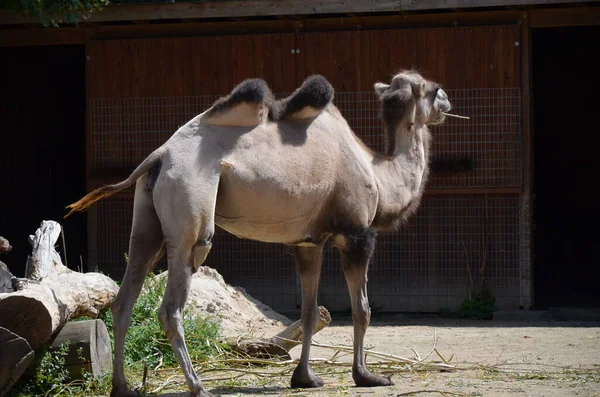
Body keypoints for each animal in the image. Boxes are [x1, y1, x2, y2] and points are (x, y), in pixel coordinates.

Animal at [64, 69, 450, 394]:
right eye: (430, 88)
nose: (447, 100)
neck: (379, 176)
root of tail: (159, 155)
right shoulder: (356, 234)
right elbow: (362, 310)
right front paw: (366, 376)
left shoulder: (308, 243)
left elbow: (310, 312)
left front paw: (305, 378)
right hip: (189, 201)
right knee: (173, 300)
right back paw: (198, 387)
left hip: (147, 217)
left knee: (125, 297)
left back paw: (122, 387)